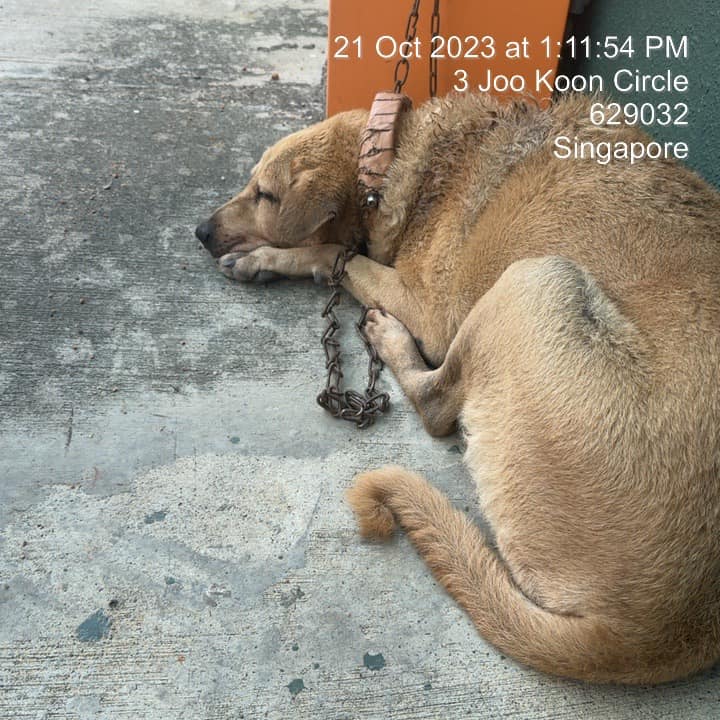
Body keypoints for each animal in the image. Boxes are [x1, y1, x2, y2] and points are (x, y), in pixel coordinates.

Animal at [196, 92, 720, 684]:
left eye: (265, 194)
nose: (200, 231)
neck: (402, 162)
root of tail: (650, 634)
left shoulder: (428, 309)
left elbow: (336, 255)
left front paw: (268, 259)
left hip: (535, 279)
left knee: (435, 406)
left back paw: (389, 341)